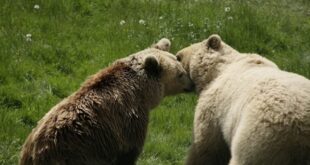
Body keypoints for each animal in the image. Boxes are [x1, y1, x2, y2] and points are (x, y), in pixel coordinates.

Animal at [19, 39, 194, 165]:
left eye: (181, 67)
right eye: (180, 74)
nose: (192, 83)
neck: (143, 93)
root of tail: (37, 152)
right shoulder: (129, 124)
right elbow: (129, 154)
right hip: (74, 155)